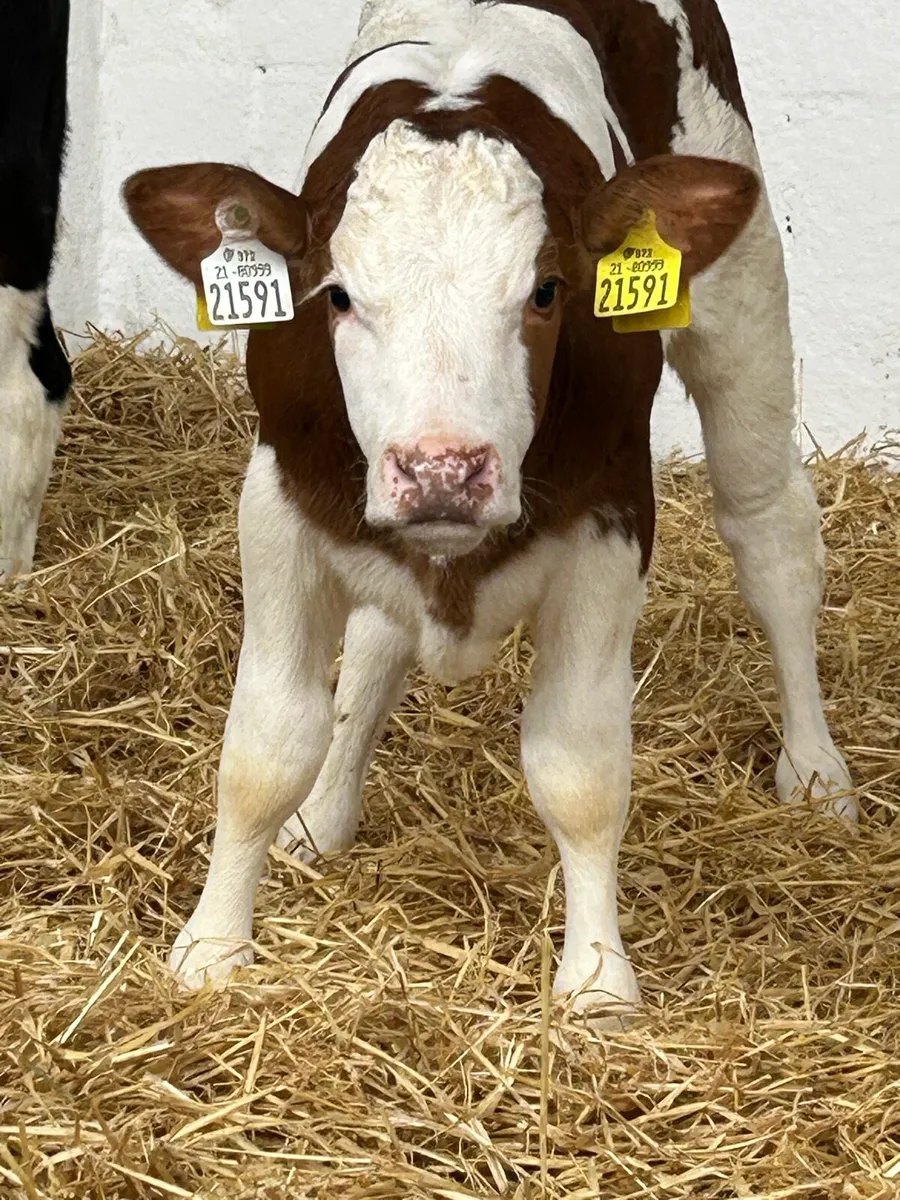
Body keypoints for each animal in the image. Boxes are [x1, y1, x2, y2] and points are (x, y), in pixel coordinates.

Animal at [125, 0, 855, 1019]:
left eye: (546, 291)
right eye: (337, 295)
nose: (443, 469)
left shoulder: (609, 519)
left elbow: (580, 768)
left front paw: (597, 981)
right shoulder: (278, 505)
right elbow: (264, 748)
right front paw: (213, 948)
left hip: (739, 290)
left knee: (771, 535)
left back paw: (817, 770)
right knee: (377, 644)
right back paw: (325, 814)